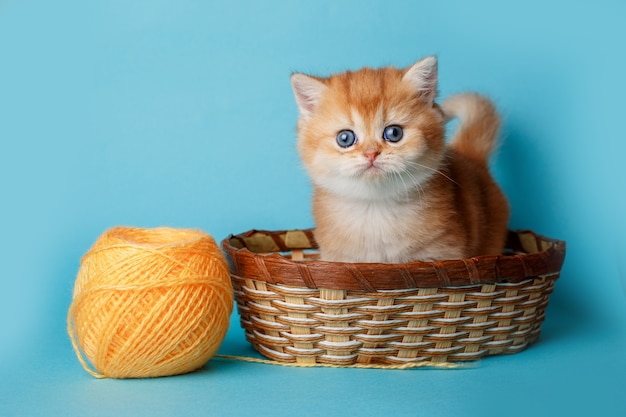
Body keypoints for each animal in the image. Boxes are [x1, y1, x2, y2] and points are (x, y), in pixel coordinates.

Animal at [290, 56, 510, 264]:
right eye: (345, 138)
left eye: (394, 133)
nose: (371, 153)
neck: (375, 208)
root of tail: (473, 159)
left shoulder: (443, 254)